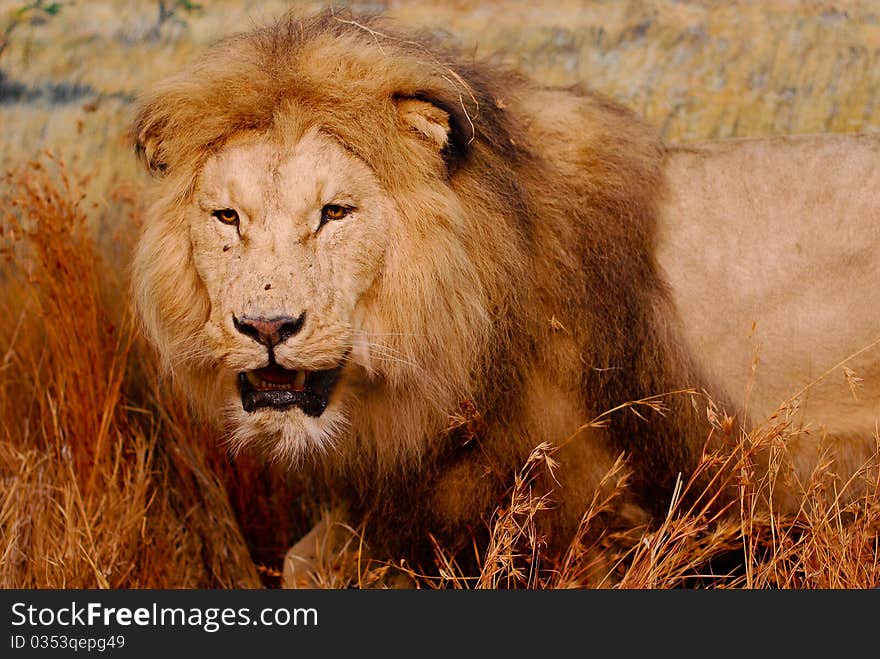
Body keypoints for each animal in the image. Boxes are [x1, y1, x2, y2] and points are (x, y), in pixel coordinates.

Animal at [131, 11, 880, 588]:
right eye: (227, 217)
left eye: (335, 213)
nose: (266, 326)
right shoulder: (406, 502)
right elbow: (298, 562)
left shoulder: (584, 506)